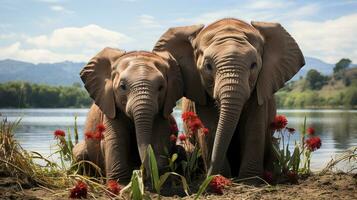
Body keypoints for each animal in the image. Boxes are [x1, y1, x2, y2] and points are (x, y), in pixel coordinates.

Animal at [72, 47, 184, 184]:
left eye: (161, 87)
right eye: (122, 86)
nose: (143, 173)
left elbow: (160, 137)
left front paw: (161, 179)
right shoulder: (111, 107)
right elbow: (116, 139)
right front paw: (119, 184)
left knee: (181, 150)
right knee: (80, 152)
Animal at [152, 18, 304, 180]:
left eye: (254, 65)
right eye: (208, 66)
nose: (210, 177)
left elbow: (254, 126)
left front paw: (250, 179)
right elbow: (209, 125)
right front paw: (221, 177)